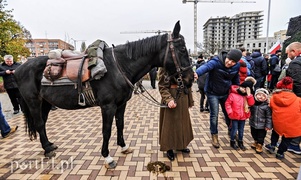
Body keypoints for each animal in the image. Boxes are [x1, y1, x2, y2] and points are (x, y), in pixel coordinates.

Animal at [14, 21, 193, 169]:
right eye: (183, 49)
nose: (191, 78)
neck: (118, 67)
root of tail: (19, 69)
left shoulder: (121, 104)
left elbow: (120, 125)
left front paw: (123, 146)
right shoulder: (108, 106)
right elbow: (106, 130)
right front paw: (107, 157)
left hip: (45, 103)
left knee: (42, 124)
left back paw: (49, 145)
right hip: (33, 102)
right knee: (39, 123)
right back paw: (48, 149)